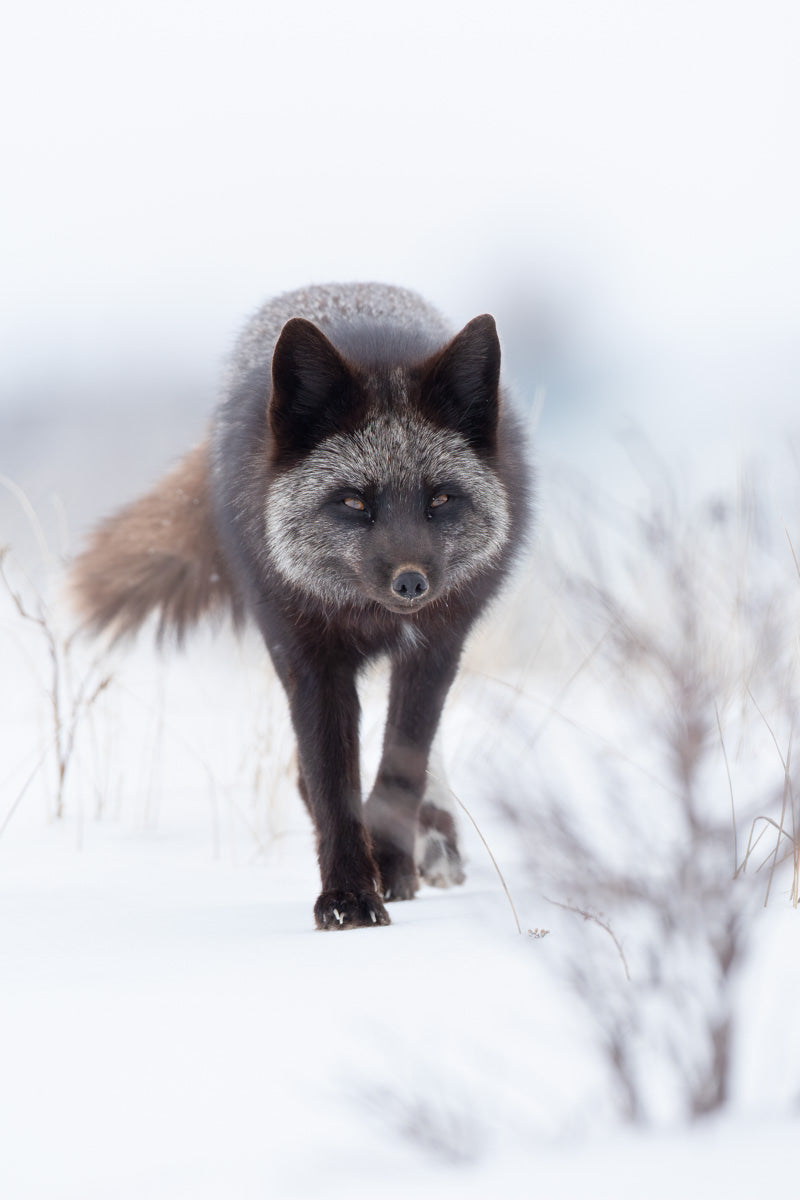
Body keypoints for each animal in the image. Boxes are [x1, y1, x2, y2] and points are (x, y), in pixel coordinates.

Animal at [69, 282, 531, 930]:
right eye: (354, 502)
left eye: (440, 499)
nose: (411, 584)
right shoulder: (310, 658)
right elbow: (333, 783)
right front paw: (349, 896)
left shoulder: (436, 648)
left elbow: (401, 770)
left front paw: (393, 869)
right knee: (308, 775)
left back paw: (434, 844)